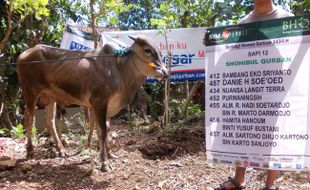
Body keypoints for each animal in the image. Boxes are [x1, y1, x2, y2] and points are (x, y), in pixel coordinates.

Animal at [16, 35, 170, 171]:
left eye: (160, 52)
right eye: (147, 50)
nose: (165, 73)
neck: (120, 70)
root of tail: (24, 53)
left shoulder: (109, 107)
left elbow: (107, 130)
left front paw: (110, 154)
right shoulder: (99, 102)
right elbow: (102, 132)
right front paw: (105, 163)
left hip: (50, 97)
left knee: (50, 120)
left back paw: (61, 150)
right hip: (30, 92)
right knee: (29, 118)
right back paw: (30, 151)